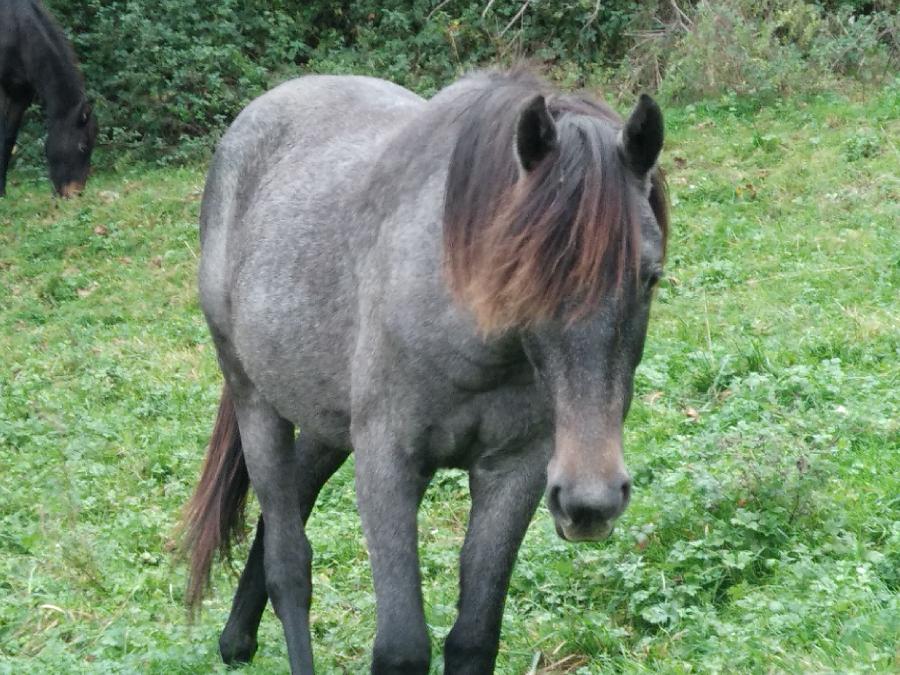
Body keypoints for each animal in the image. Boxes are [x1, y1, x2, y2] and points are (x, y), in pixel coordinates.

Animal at [182, 69, 668, 674]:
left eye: (650, 276)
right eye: (522, 273)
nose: (591, 500)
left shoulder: (517, 470)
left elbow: (473, 638)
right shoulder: (387, 465)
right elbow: (401, 648)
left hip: (324, 423)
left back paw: (235, 640)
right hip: (256, 403)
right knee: (289, 565)